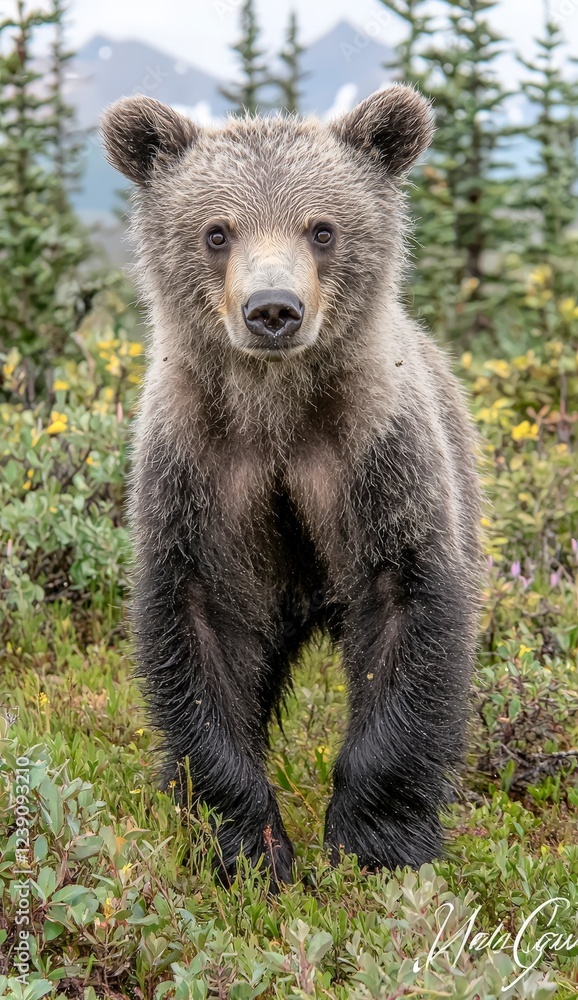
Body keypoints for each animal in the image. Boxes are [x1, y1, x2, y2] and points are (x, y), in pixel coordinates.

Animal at [100, 85, 481, 887]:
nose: (273, 308)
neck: (276, 413)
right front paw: (247, 847)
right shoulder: (201, 470)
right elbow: (199, 636)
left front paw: (376, 844)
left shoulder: (376, 457)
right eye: (217, 231)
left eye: (323, 228)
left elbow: (407, 616)